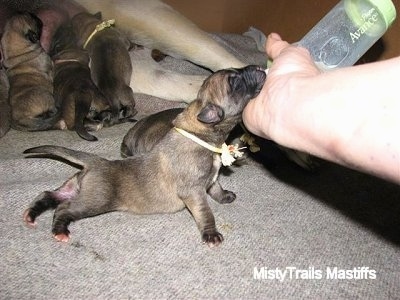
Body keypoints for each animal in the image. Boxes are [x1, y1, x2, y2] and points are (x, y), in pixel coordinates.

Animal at [21, 65, 266, 246]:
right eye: (234, 82)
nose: (258, 67)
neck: (200, 133)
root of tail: (95, 162)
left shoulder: (210, 179)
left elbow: (216, 187)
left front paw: (224, 196)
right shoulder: (193, 192)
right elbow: (205, 212)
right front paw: (211, 234)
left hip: (75, 187)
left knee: (49, 194)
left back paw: (32, 214)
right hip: (96, 199)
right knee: (64, 208)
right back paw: (60, 230)